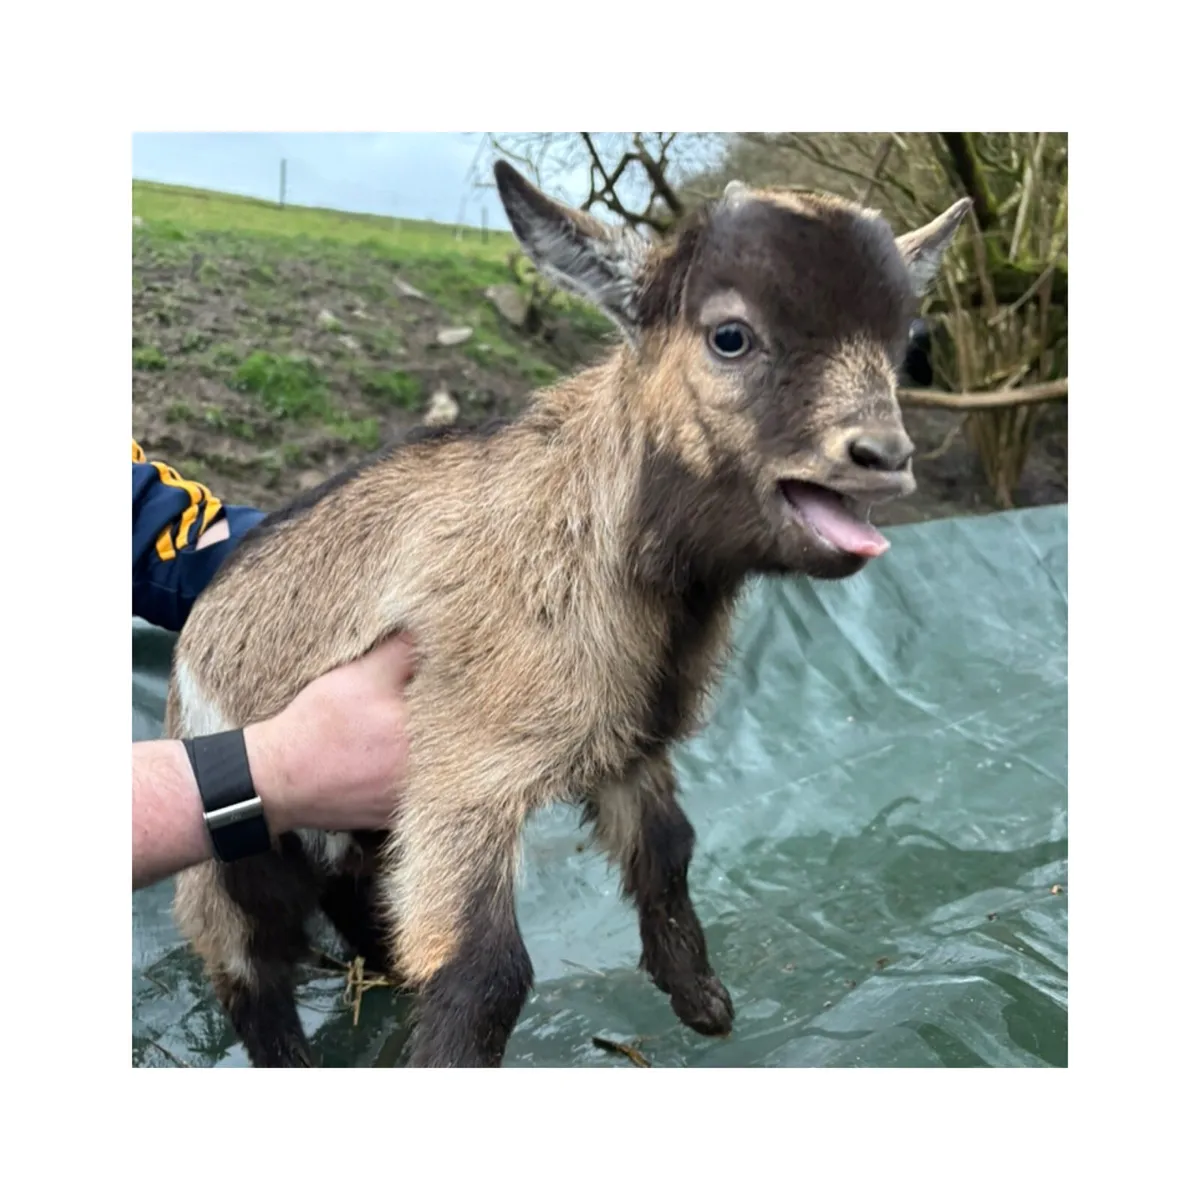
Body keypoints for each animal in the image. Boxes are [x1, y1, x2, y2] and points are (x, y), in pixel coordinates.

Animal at [166, 161, 970, 1067]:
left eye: (905, 344)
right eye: (730, 336)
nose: (884, 457)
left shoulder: (629, 740)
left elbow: (669, 851)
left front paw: (701, 1000)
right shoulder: (459, 768)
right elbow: (487, 970)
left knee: (353, 896)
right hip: (238, 857)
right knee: (247, 966)